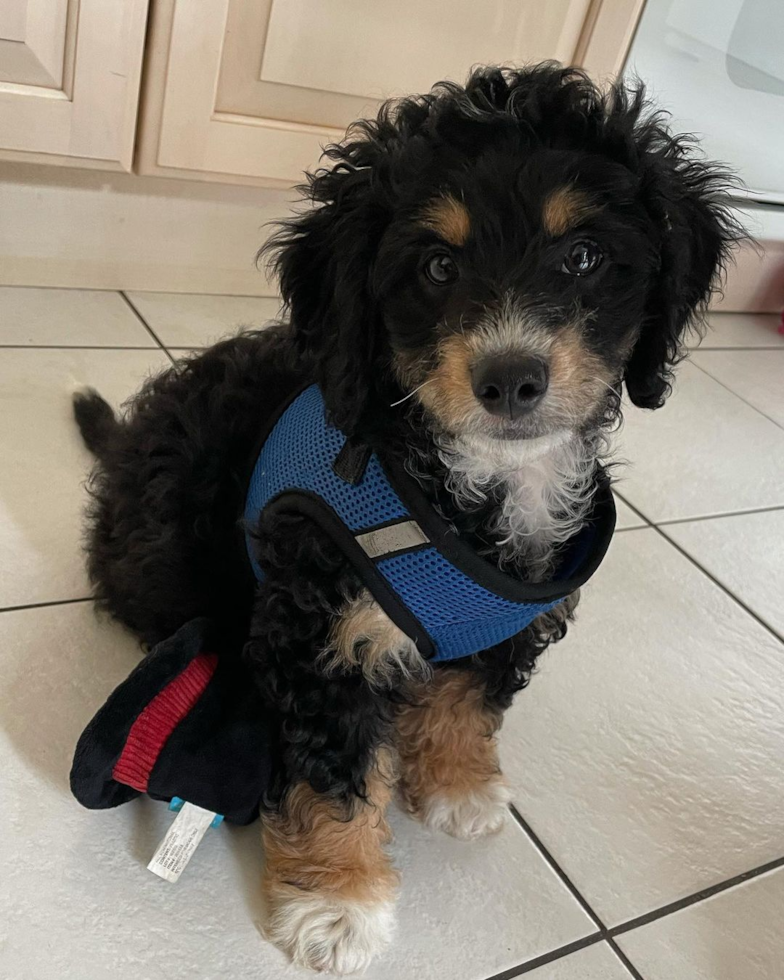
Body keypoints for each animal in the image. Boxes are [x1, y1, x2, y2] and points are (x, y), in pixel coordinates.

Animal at [72, 63, 736, 972]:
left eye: (584, 256)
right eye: (437, 266)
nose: (510, 378)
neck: (475, 485)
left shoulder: (504, 623)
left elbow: (468, 700)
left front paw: (457, 785)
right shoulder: (323, 630)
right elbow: (334, 771)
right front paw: (340, 902)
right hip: (170, 531)